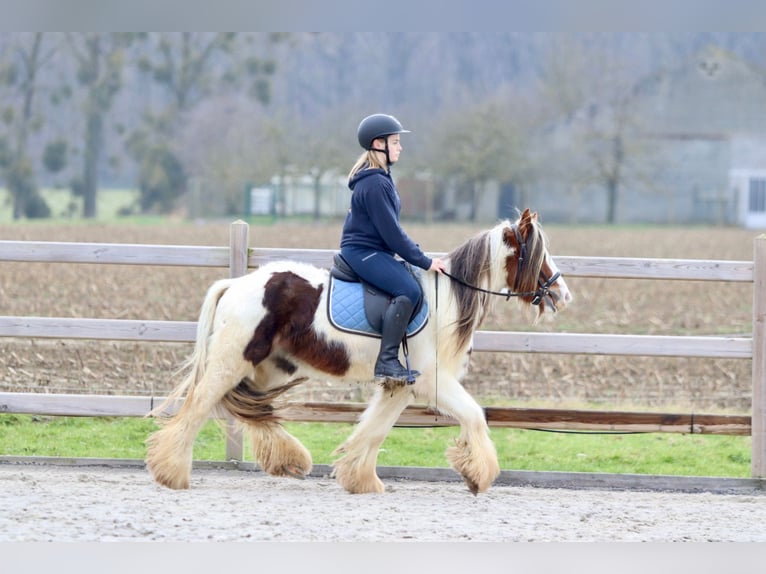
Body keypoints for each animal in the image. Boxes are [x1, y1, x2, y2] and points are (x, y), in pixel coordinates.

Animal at [147, 209, 572, 498]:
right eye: (538, 254)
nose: (562, 294)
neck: (447, 298)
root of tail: (237, 283)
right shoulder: (433, 381)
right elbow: (474, 415)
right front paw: (478, 475)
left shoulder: (401, 386)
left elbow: (375, 428)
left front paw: (360, 478)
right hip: (232, 361)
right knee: (200, 405)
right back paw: (172, 472)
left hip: (270, 367)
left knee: (252, 409)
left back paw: (289, 459)